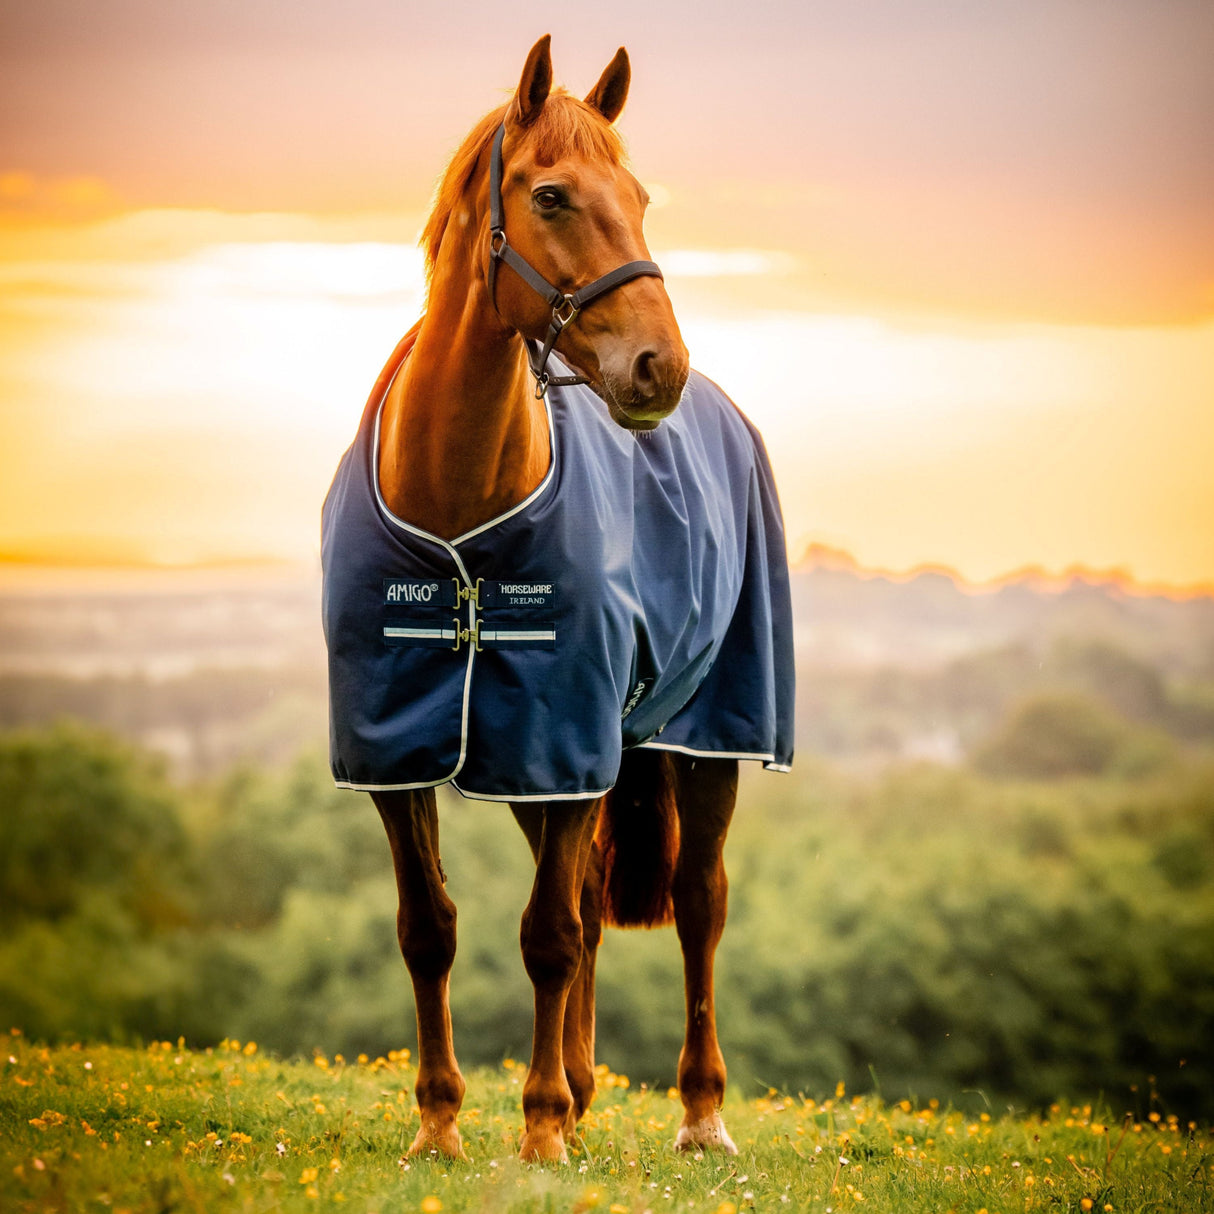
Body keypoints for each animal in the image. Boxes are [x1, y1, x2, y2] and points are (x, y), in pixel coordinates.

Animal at [321, 35, 794, 1164]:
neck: (458, 508)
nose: (657, 367)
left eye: (640, 195)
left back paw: (698, 1111)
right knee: (580, 894)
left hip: (703, 736)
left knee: (697, 902)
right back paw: (579, 1089)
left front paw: (536, 1133)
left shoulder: (567, 738)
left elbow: (548, 935)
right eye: (551, 194)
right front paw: (441, 1124)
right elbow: (430, 928)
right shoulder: (406, 751)